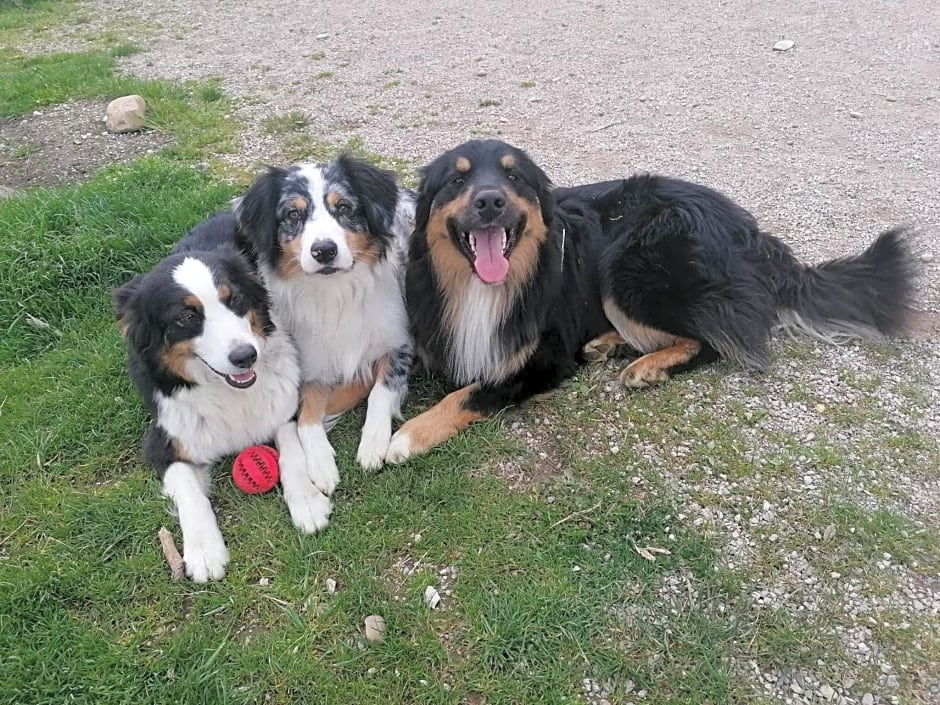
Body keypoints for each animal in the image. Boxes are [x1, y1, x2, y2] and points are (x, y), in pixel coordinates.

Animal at [116, 217, 332, 580]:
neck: (227, 391)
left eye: (236, 299)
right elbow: (191, 494)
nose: (245, 356)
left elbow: (292, 454)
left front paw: (307, 502)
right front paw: (204, 550)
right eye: (187, 316)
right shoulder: (162, 443)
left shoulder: (286, 406)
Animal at [233, 157, 414, 492]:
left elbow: (381, 391)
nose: (324, 250)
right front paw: (320, 464)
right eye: (293, 214)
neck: (337, 293)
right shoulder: (310, 365)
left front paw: (373, 443)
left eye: (343, 207)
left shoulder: (400, 344)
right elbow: (306, 416)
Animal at [384, 142, 916, 462]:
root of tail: (752, 234)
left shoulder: (543, 359)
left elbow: (471, 392)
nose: (490, 200)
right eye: (457, 180)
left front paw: (406, 437)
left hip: (626, 268)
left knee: (717, 341)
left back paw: (648, 366)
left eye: (515, 179)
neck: (483, 284)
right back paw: (606, 343)